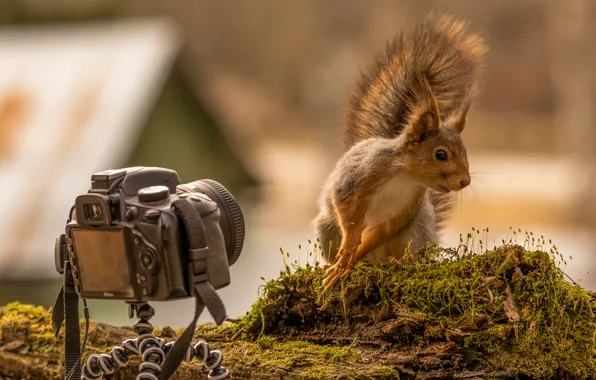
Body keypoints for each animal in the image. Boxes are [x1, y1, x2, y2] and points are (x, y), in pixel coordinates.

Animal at [314, 12, 486, 290]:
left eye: (465, 151)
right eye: (441, 154)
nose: (465, 181)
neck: (406, 175)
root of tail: (377, 261)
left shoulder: (405, 209)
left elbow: (381, 229)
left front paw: (349, 262)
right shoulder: (359, 180)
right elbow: (348, 215)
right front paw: (345, 260)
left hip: (415, 231)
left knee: (402, 253)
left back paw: (399, 263)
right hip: (327, 229)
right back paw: (339, 265)